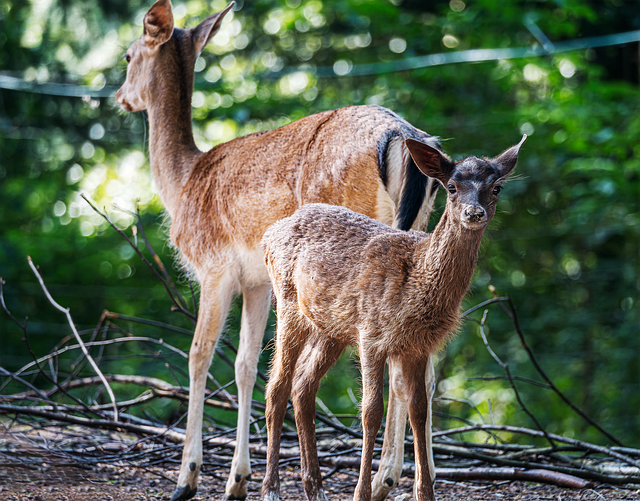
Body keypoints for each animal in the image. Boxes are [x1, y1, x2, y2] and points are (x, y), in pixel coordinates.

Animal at [116, 0, 440, 500]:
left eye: (129, 56)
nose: (118, 96)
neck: (183, 183)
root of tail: (402, 138)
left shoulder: (215, 267)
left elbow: (199, 355)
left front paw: (189, 478)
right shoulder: (257, 283)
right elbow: (246, 364)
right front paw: (236, 481)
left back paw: (383, 478)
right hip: (414, 238)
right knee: (422, 366)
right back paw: (404, 478)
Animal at [260, 135, 524, 500]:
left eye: (496, 187)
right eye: (452, 186)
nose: (474, 213)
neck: (416, 283)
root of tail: (269, 234)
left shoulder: (418, 346)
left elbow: (420, 410)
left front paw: (425, 493)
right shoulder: (371, 334)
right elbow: (371, 412)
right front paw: (361, 492)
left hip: (331, 329)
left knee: (303, 388)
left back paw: (315, 489)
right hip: (288, 305)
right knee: (277, 387)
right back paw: (270, 489)